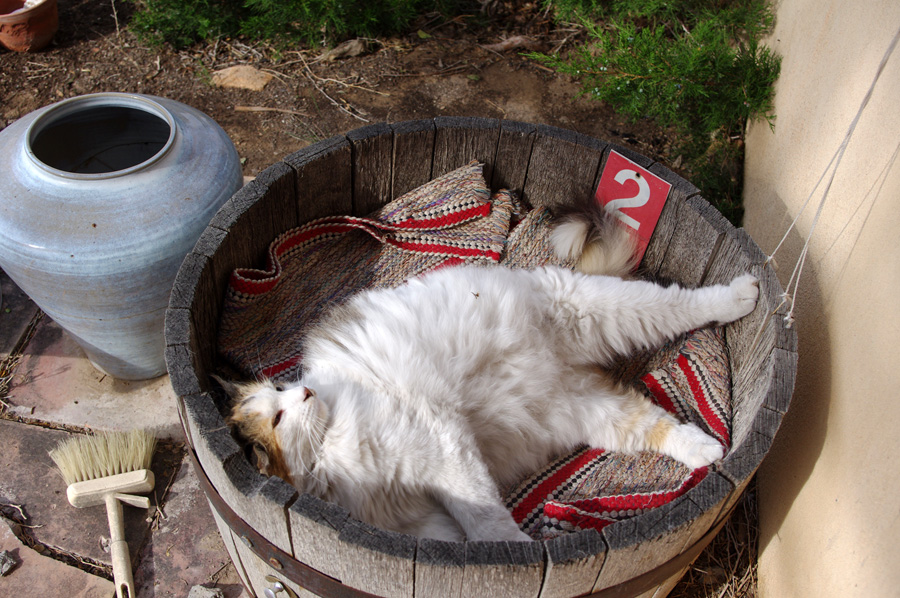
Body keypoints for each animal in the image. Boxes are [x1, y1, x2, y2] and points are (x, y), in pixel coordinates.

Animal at [220, 205, 760, 544]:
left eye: (283, 391)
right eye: (277, 415)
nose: (306, 391)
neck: (330, 455)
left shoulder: (443, 447)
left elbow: (485, 522)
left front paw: (513, 556)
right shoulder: (425, 516)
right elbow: (461, 536)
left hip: (603, 310)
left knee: (681, 302)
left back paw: (742, 294)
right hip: (591, 411)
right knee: (656, 426)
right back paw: (707, 450)